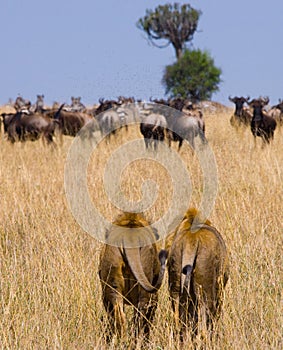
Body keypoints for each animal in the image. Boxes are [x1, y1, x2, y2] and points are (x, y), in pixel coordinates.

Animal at [166, 208, 231, 342]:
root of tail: (192, 239)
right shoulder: (220, 290)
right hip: (205, 290)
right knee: (205, 326)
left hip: (175, 286)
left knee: (178, 323)